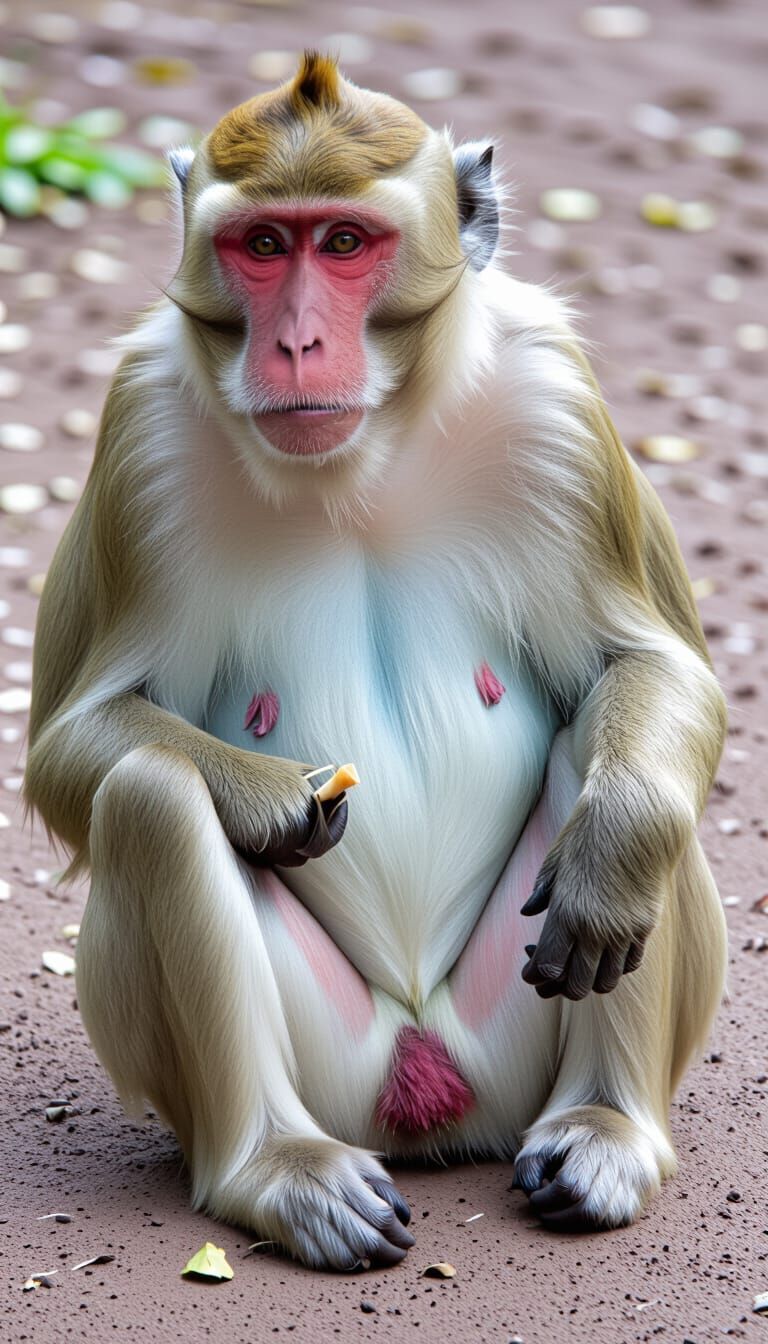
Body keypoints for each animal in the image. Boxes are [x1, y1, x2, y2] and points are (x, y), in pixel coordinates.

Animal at [25, 52, 727, 1268]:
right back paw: (277, 1168)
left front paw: (616, 851)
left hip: (509, 1030)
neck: (366, 456)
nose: (297, 342)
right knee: (152, 795)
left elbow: (652, 664)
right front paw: (266, 797)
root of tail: (430, 1099)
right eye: (264, 245)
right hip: (338, 1068)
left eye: (345, 242)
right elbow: (71, 745)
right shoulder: (137, 433)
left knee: (606, 743)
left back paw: (604, 1131)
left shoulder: (561, 403)